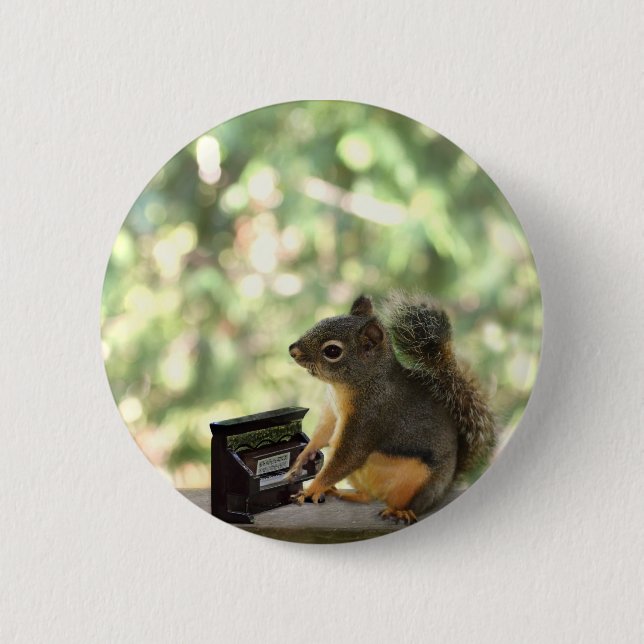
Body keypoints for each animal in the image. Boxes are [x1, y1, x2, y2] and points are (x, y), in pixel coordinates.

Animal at [285, 292, 496, 524]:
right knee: (368, 496)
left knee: (413, 504)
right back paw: (345, 494)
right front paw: (302, 459)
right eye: (324, 321)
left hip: (422, 484)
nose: (292, 350)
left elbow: (348, 458)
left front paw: (310, 490)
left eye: (332, 351)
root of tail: (447, 485)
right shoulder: (332, 412)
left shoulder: (370, 417)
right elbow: (322, 434)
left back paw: (401, 511)